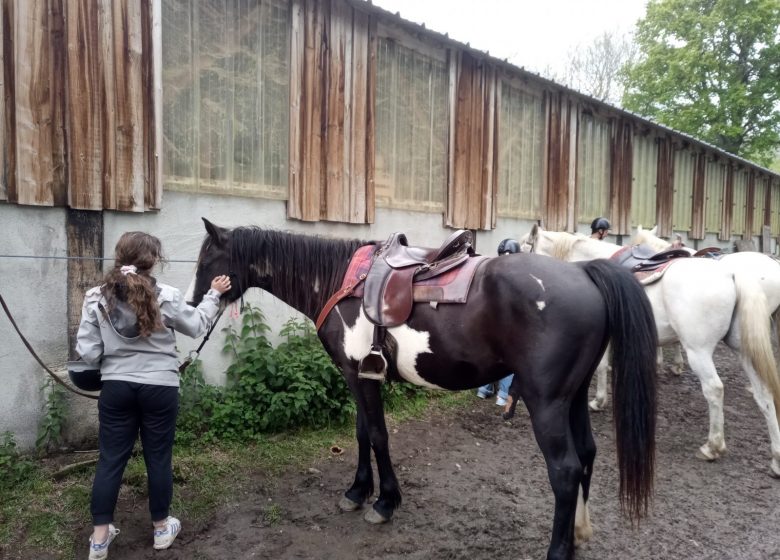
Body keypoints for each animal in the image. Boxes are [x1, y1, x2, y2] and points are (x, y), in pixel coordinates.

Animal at [192, 220, 656, 560]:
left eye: (208, 258)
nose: (198, 300)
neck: (340, 281)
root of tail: (584, 273)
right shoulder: (360, 376)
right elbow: (362, 434)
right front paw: (358, 492)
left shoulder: (358, 376)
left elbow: (377, 435)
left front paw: (384, 502)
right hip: (572, 397)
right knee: (588, 454)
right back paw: (577, 534)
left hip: (546, 404)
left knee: (564, 470)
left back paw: (558, 551)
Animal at [520, 224, 780, 476]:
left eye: (524, 247)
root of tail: (733, 274)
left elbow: (602, 366)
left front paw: (599, 401)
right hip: (744, 349)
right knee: (764, 393)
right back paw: (776, 458)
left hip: (699, 351)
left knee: (714, 389)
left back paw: (712, 446)